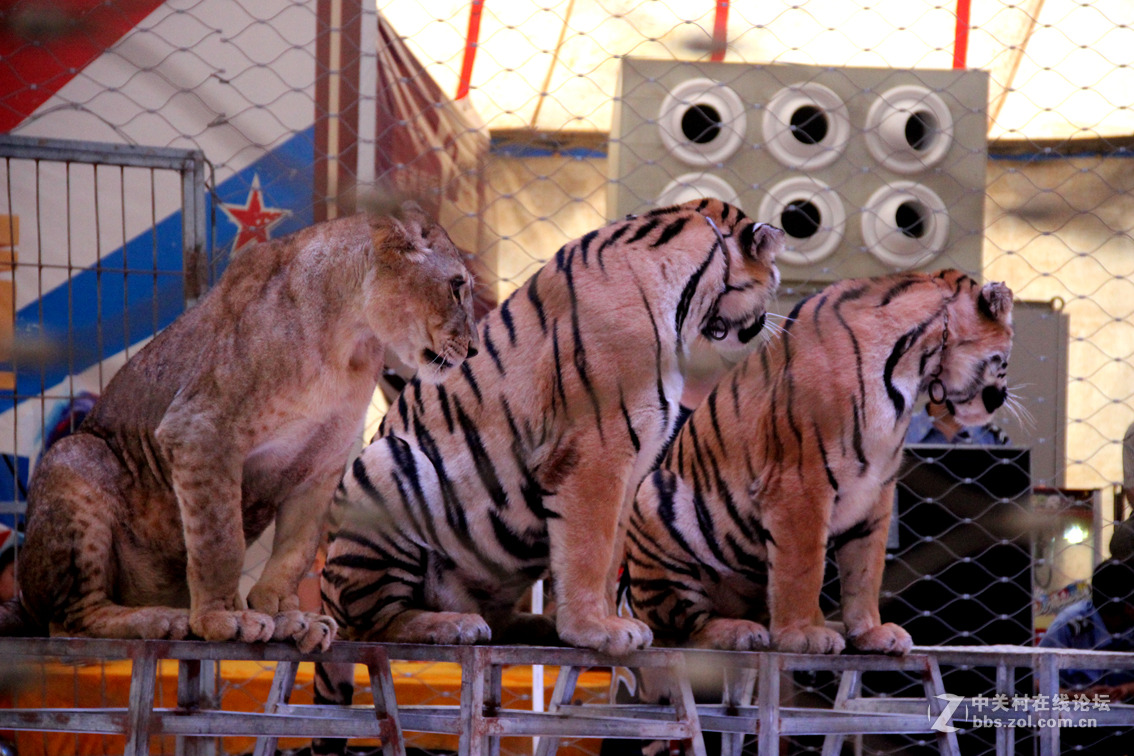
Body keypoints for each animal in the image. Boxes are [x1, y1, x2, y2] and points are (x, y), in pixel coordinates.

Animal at [0, 201, 477, 652]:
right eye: (457, 287)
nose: (473, 349)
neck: (351, 341)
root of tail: (20, 598)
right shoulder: (201, 430)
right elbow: (220, 540)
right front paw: (223, 618)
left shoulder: (322, 463)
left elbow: (295, 552)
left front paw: (288, 618)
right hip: (73, 455)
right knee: (70, 619)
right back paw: (162, 619)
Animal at [626, 269, 1014, 657]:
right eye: (1005, 359)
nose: (1000, 399)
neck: (911, 367)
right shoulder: (800, 481)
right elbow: (802, 568)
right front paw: (801, 635)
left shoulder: (876, 491)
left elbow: (865, 571)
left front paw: (870, 633)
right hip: (652, 500)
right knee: (685, 629)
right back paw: (740, 630)